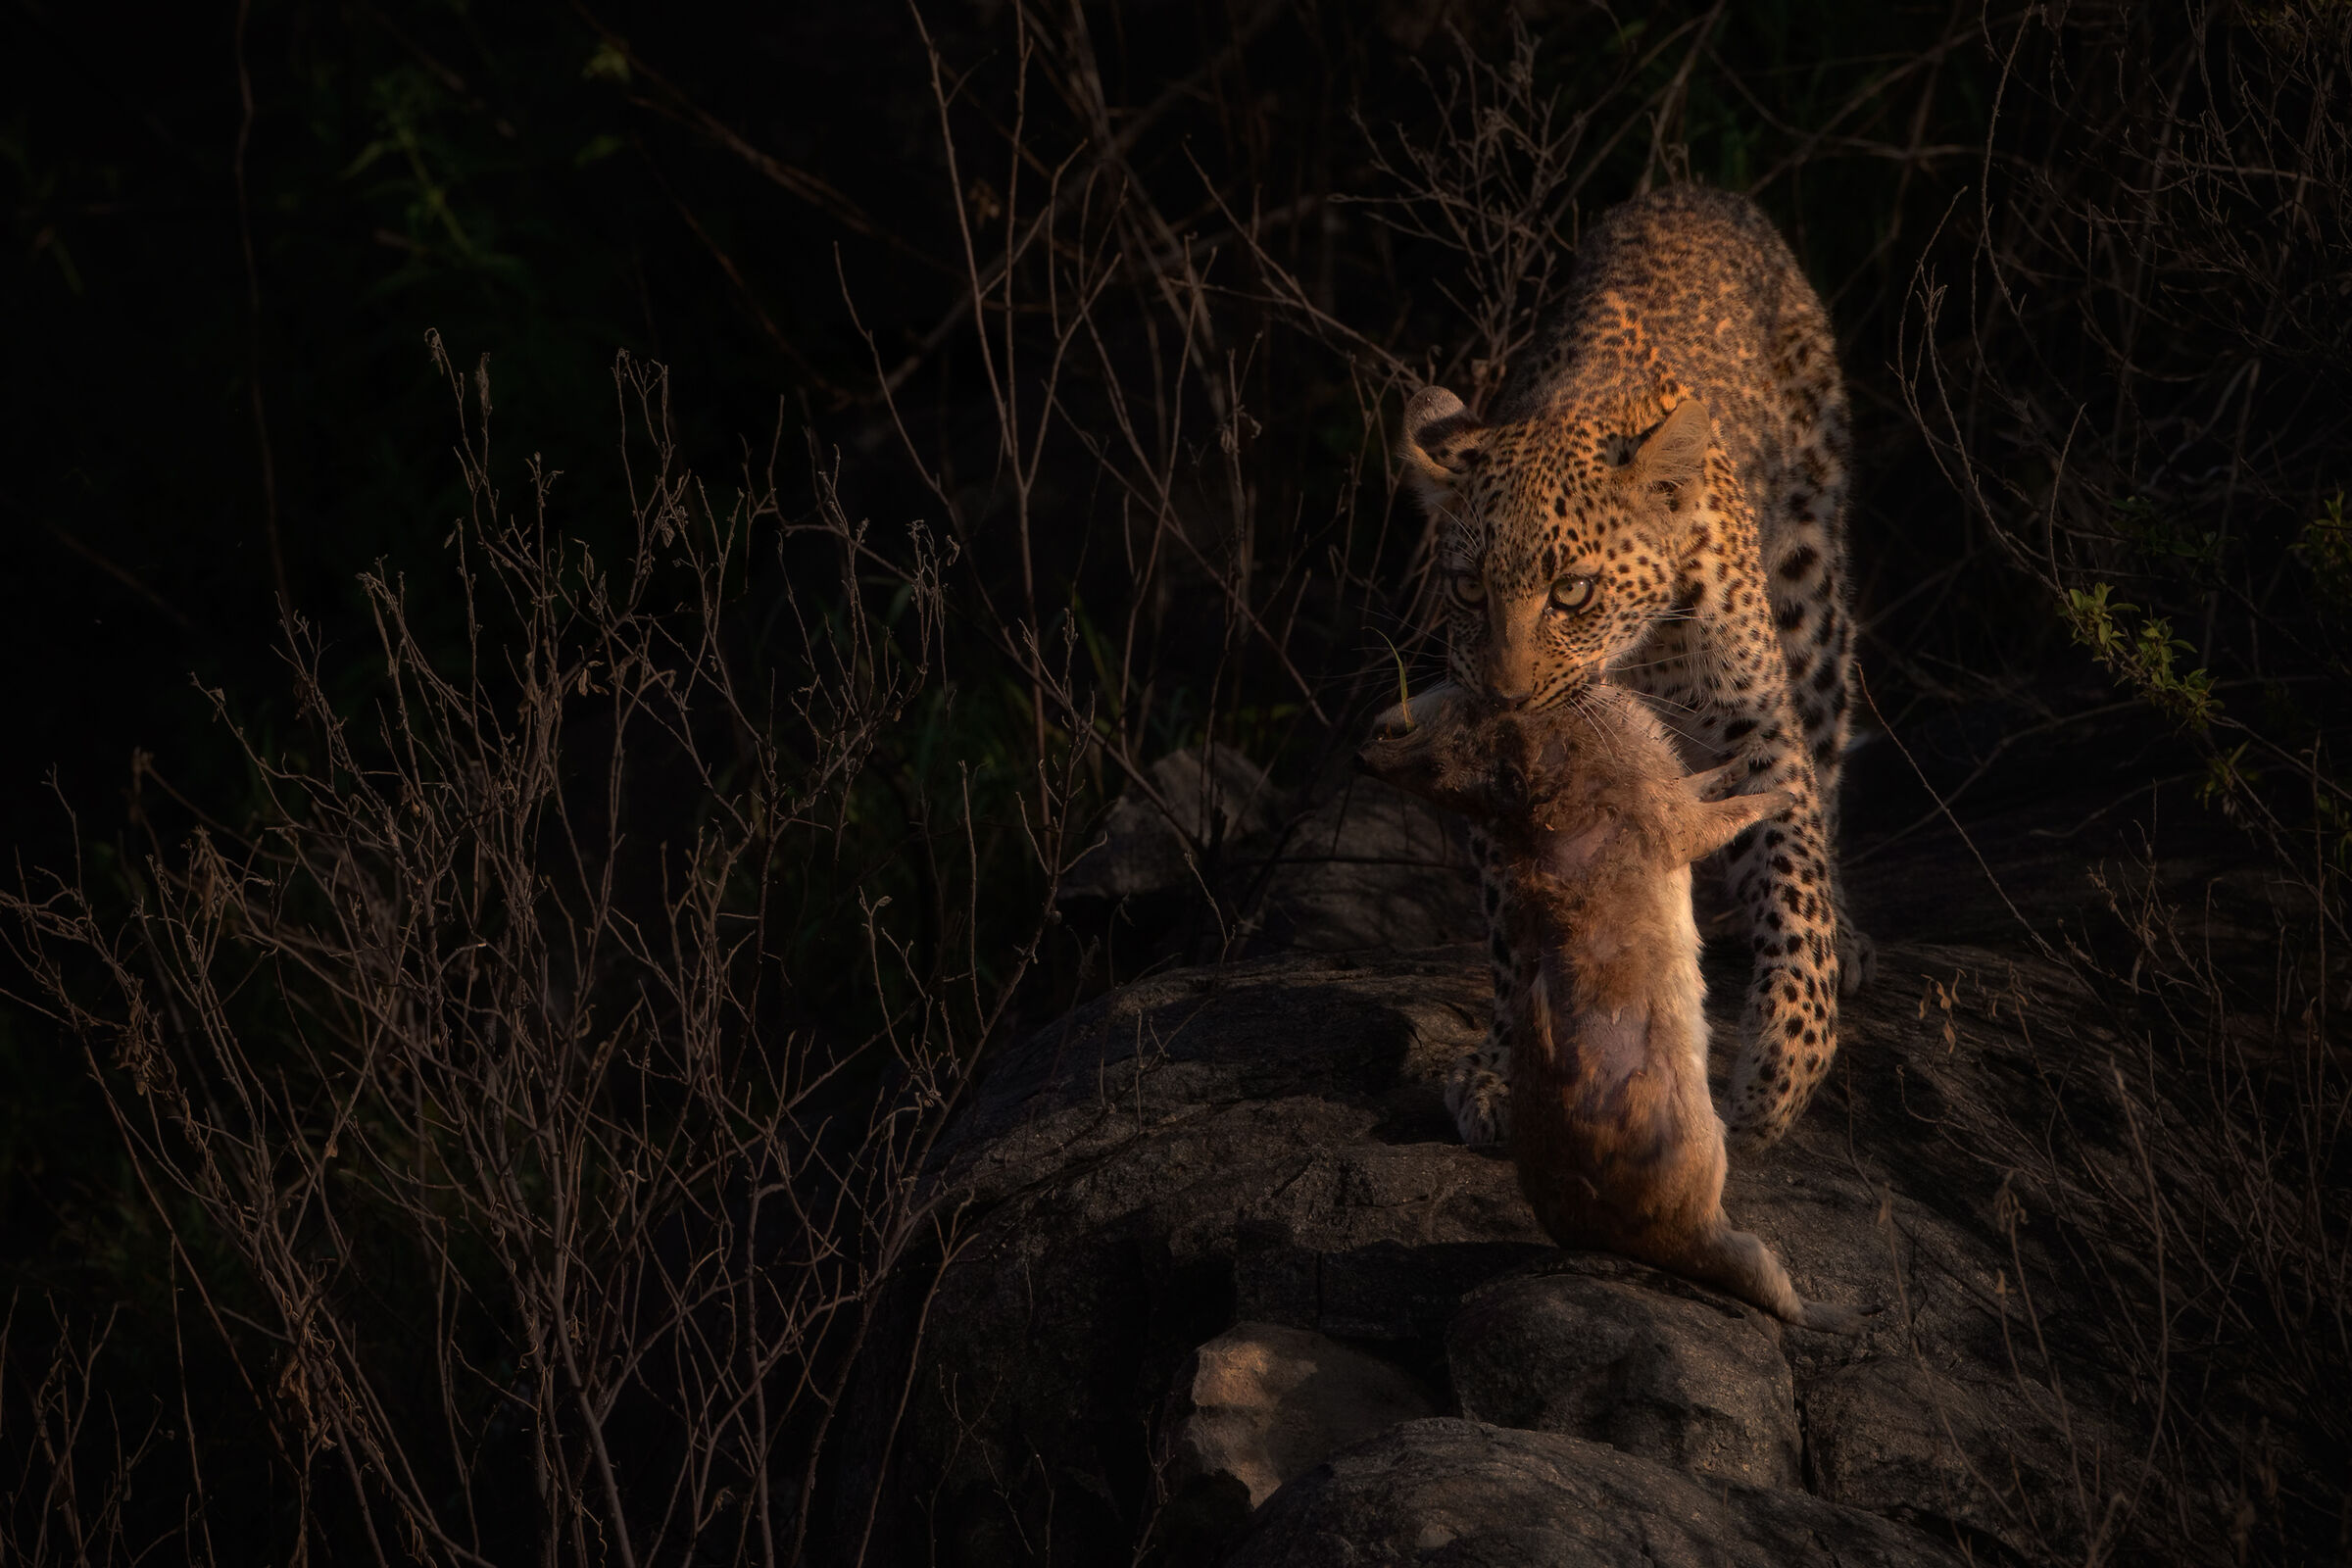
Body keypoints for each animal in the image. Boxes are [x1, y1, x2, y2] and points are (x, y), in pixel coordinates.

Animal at [1357, 678, 1870, 1331]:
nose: (1367, 749)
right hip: (1718, 1211)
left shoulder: (1667, 789)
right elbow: (1723, 816)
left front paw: (1741, 767)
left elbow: (1708, 779)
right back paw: (1847, 1313)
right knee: (1765, 1283)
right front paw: (1777, 791)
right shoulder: (1669, 823)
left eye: (1435, 759)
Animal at [1398, 183, 1870, 1151]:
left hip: (1810, 577)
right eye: (1466, 587)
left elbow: (1791, 871)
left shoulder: (1755, 725)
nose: (1506, 700)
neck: (1634, 657)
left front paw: (1782, 1068)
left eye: (1572, 591)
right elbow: (1520, 935)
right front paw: (1508, 1072)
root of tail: (1694, 190)